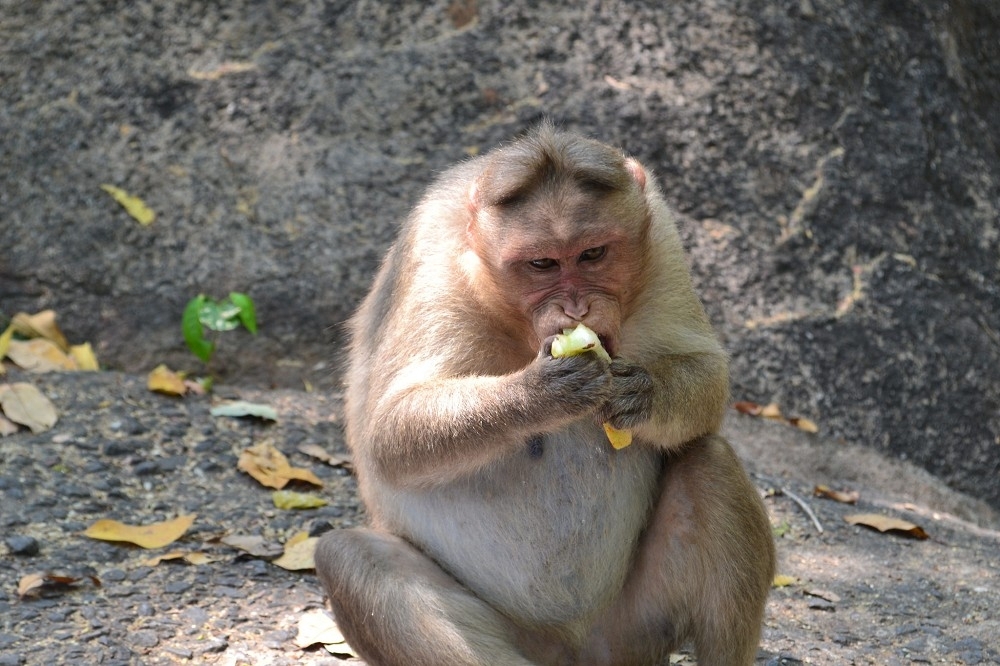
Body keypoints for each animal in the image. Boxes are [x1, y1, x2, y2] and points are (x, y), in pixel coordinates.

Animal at [316, 122, 776, 660]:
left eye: (593, 254)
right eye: (542, 264)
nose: (576, 309)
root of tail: (575, 651)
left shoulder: (660, 234)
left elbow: (708, 368)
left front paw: (644, 395)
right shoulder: (431, 256)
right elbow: (389, 435)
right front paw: (540, 394)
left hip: (630, 632)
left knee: (711, 462)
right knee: (351, 558)